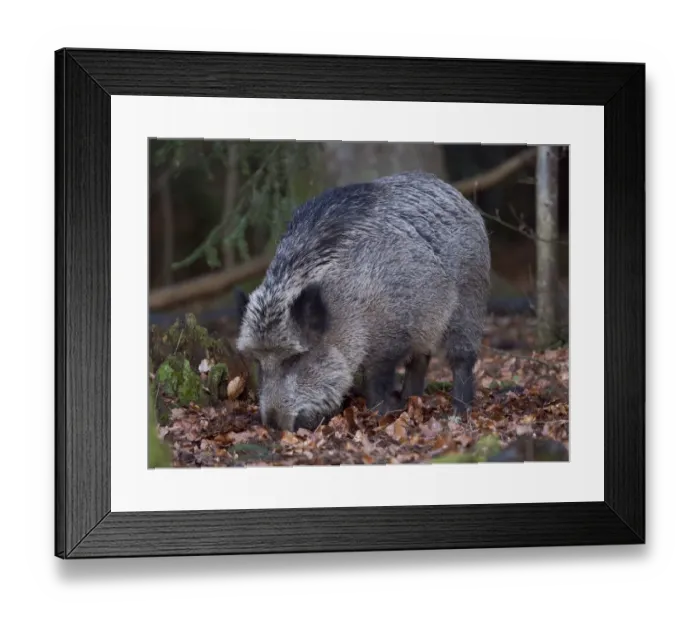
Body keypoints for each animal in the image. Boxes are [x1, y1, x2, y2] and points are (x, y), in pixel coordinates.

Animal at [235, 170, 491, 432]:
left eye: (295, 358)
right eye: (258, 361)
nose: (273, 426)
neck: (346, 306)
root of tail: (457, 195)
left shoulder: (390, 337)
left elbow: (377, 380)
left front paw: (381, 415)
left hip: (469, 300)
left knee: (461, 358)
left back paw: (458, 413)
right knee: (421, 359)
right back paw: (410, 401)